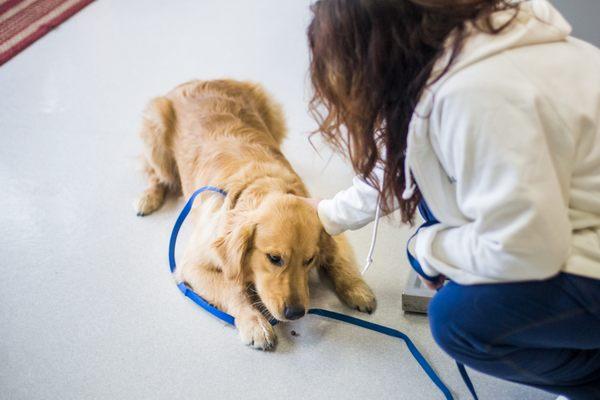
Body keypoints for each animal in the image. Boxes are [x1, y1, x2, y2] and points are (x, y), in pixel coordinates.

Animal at [136, 79, 376, 348]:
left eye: (309, 260)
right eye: (274, 258)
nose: (296, 313)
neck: (261, 183)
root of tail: (197, 81)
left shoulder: (329, 218)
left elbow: (338, 258)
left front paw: (356, 288)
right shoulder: (192, 265)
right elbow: (232, 289)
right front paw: (254, 323)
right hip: (156, 137)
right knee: (156, 174)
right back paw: (148, 198)